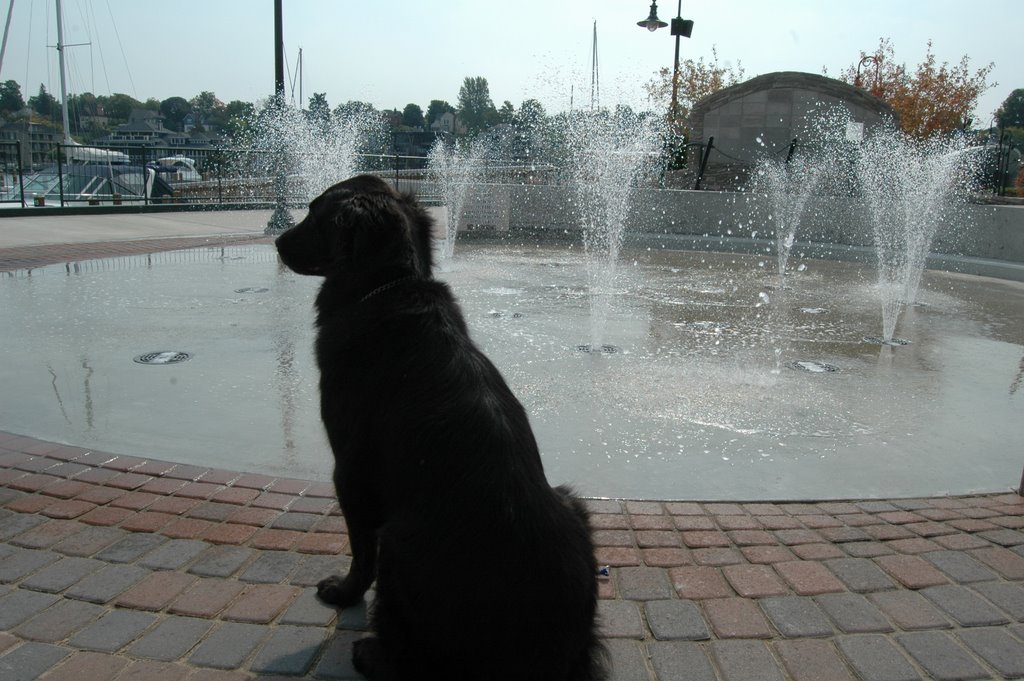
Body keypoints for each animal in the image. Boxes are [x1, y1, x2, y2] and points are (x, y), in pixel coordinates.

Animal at [276, 175, 602, 679]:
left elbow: (359, 551)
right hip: (573, 503)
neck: (390, 286)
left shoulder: (349, 471)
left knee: (414, 656)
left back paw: (369, 653)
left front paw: (343, 592)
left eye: (315, 213)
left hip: (400, 541)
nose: (276, 241)